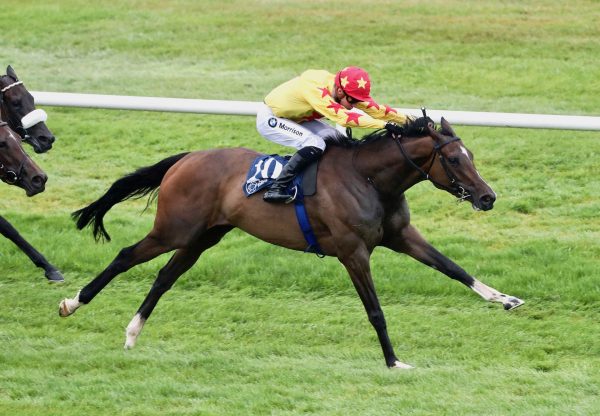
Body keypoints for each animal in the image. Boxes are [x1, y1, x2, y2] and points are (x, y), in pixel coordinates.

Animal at [58, 116, 524, 368]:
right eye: (454, 159)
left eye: (471, 157)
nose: (488, 197)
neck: (370, 179)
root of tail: (186, 158)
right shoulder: (353, 252)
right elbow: (375, 311)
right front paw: (394, 361)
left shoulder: (401, 236)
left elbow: (453, 268)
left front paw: (505, 299)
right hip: (174, 229)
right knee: (125, 257)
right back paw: (72, 303)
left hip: (203, 237)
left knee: (164, 278)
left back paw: (132, 333)